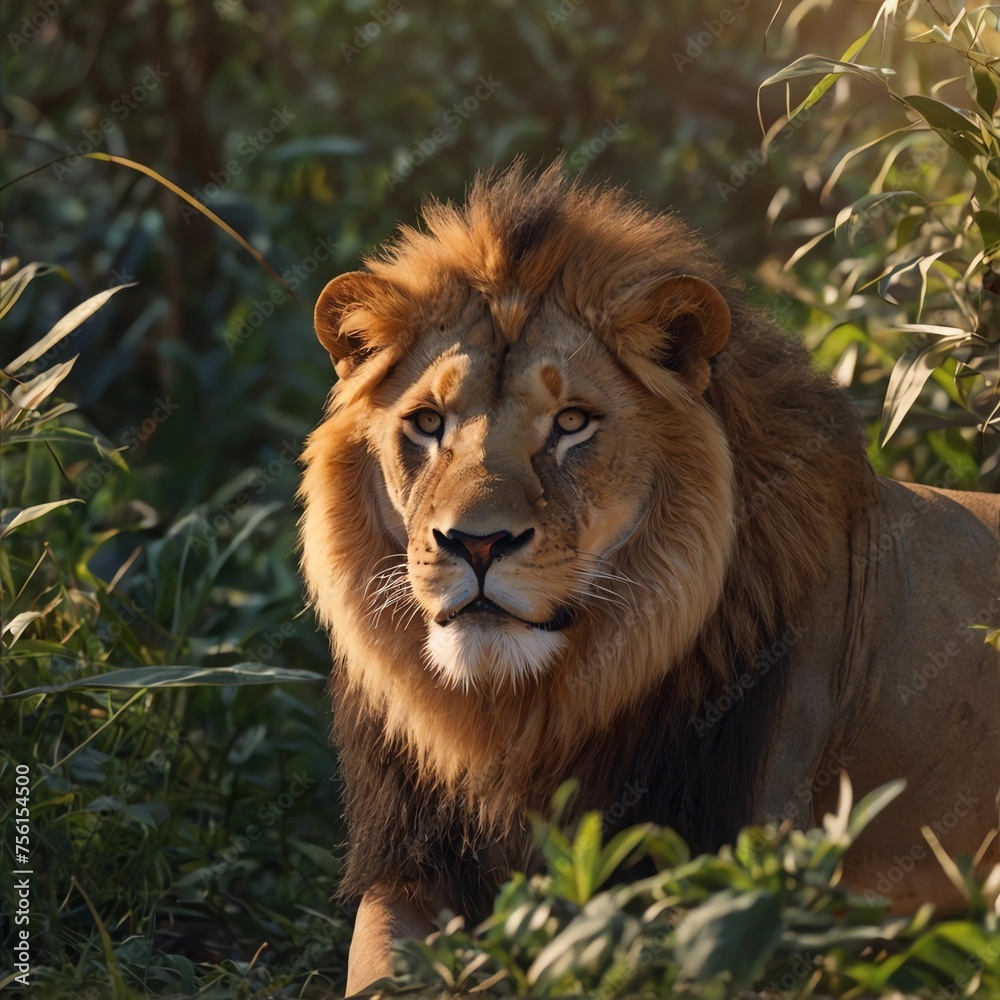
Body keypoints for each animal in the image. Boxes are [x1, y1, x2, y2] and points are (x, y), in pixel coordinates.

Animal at [299, 162, 1000, 994]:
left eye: (572, 423)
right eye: (428, 423)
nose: (477, 543)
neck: (517, 716)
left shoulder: (736, 889)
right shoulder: (407, 868)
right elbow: (376, 969)